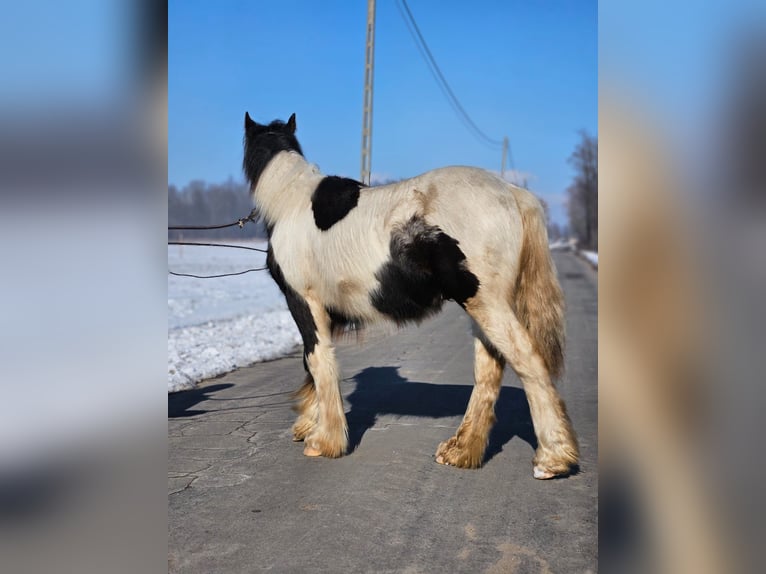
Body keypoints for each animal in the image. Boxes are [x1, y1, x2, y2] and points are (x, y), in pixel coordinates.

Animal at [243, 113, 580, 482]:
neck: (291, 204)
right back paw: (460, 451)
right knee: (489, 371)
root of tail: (512, 192)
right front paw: (309, 424)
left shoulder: (304, 302)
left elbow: (318, 361)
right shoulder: (325, 312)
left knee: (528, 361)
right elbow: (312, 365)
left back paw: (551, 460)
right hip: (484, 307)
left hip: (486, 302)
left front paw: (323, 441)